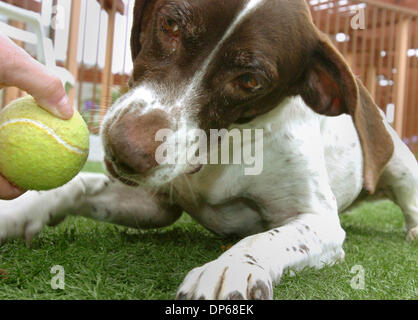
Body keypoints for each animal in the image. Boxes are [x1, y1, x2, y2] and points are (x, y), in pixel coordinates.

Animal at [0, 0, 418, 300]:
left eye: (249, 80)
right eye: (170, 24)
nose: (125, 150)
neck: (221, 149)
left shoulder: (319, 221)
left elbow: (265, 238)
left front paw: (230, 267)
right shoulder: (156, 205)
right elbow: (76, 187)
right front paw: (19, 213)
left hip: (401, 165)